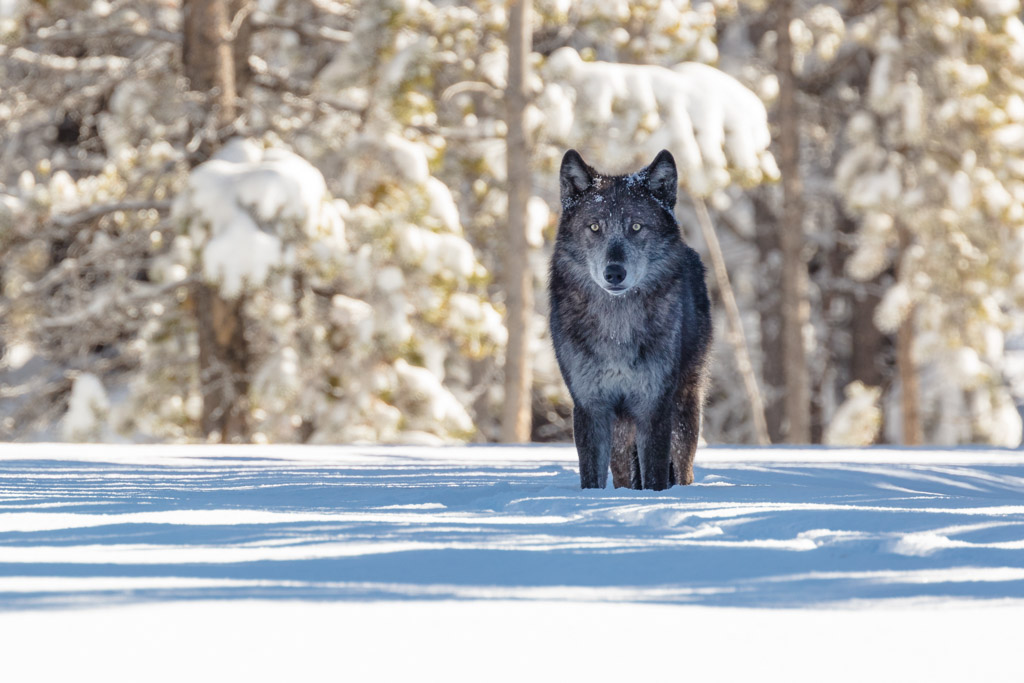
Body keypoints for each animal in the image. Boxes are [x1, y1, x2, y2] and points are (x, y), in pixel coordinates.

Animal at [548, 149, 712, 490]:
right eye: (594, 227)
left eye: (636, 227)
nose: (614, 272)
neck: (617, 327)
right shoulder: (591, 406)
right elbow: (591, 477)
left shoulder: (654, 405)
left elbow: (655, 475)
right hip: (622, 432)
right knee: (623, 473)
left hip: (684, 410)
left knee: (683, 468)